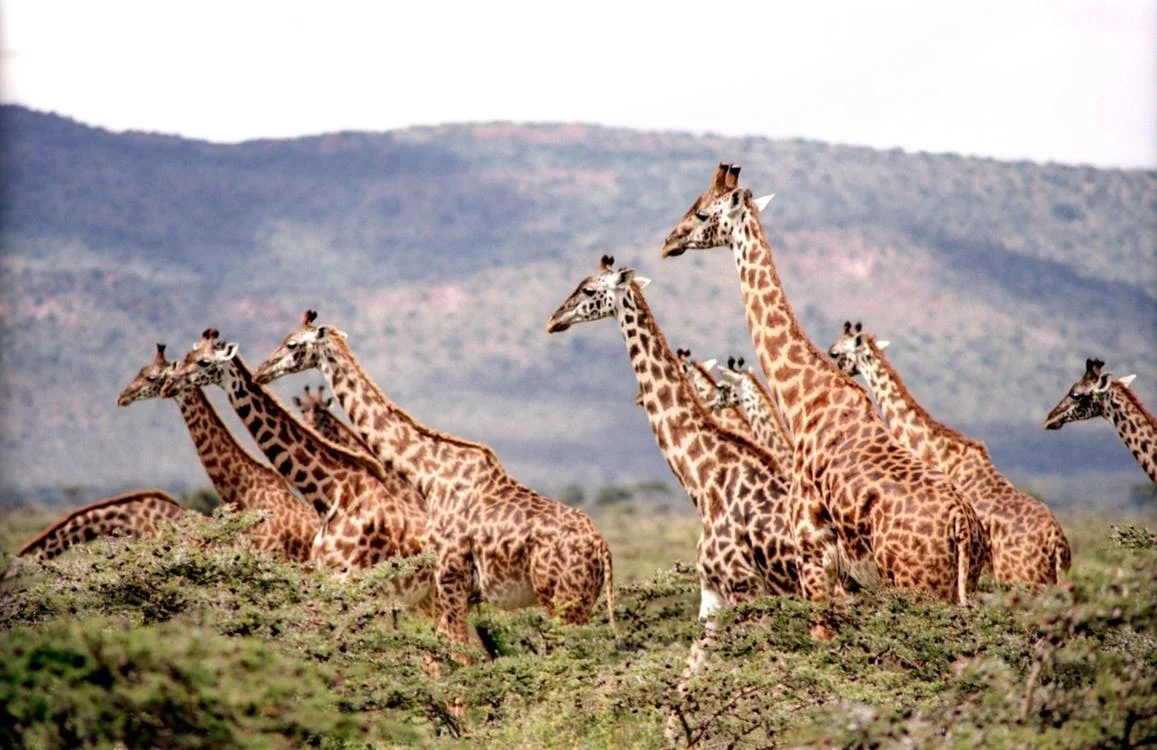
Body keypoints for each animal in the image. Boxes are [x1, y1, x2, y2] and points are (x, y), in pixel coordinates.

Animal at [252, 310, 615, 649]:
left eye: (292, 344)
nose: (260, 372)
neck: (430, 475)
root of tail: (602, 550)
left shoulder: (450, 576)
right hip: (579, 600)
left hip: (561, 599)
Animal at [661, 163, 986, 604]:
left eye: (701, 213)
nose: (667, 243)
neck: (804, 400)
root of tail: (963, 529)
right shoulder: (846, 578)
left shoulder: (811, 551)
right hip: (959, 588)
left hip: (916, 584)